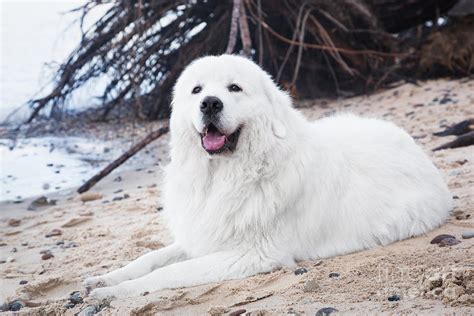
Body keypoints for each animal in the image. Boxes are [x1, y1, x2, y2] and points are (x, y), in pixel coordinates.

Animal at [84, 53, 452, 298]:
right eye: (196, 90)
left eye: (234, 88)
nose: (210, 103)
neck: (225, 175)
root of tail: (410, 141)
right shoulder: (204, 236)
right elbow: (150, 258)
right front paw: (106, 280)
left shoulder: (252, 255)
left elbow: (172, 271)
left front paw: (115, 294)